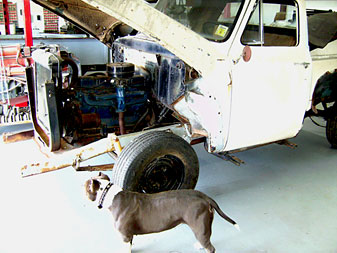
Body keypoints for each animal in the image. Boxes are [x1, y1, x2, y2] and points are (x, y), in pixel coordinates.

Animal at [85, 173, 238, 252]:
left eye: (85, 186)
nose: (81, 186)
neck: (110, 195)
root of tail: (205, 197)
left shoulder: (124, 235)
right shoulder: (129, 235)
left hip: (200, 224)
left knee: (210, 247)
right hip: (201, 227)